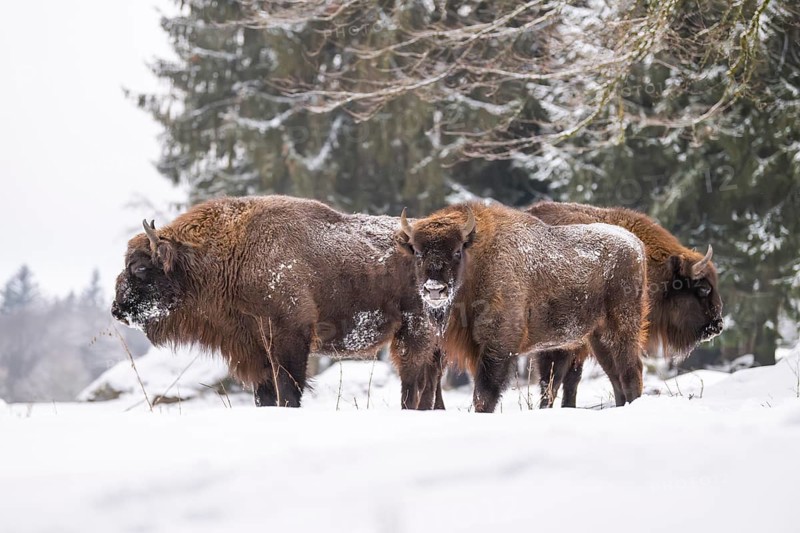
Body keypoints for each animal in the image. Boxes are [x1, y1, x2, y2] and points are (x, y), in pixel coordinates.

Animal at [111, 195, 442, 409]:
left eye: (140, 268)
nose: (117, 309)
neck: (233, 253)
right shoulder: (253, 349)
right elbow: (265, 394)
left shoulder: (289, 337)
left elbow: (288, 390)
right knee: (432, 380)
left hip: (414, 331)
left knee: (414, 380)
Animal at [397, 201, 649, 412]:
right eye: (418, 252)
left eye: (457, 251)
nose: (434, 289)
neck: (479, 260)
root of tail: (636, 245)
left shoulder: (497, 348)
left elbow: (483, 395)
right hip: (597, 337)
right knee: (615, 375)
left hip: (621, 327)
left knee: (630, 371)